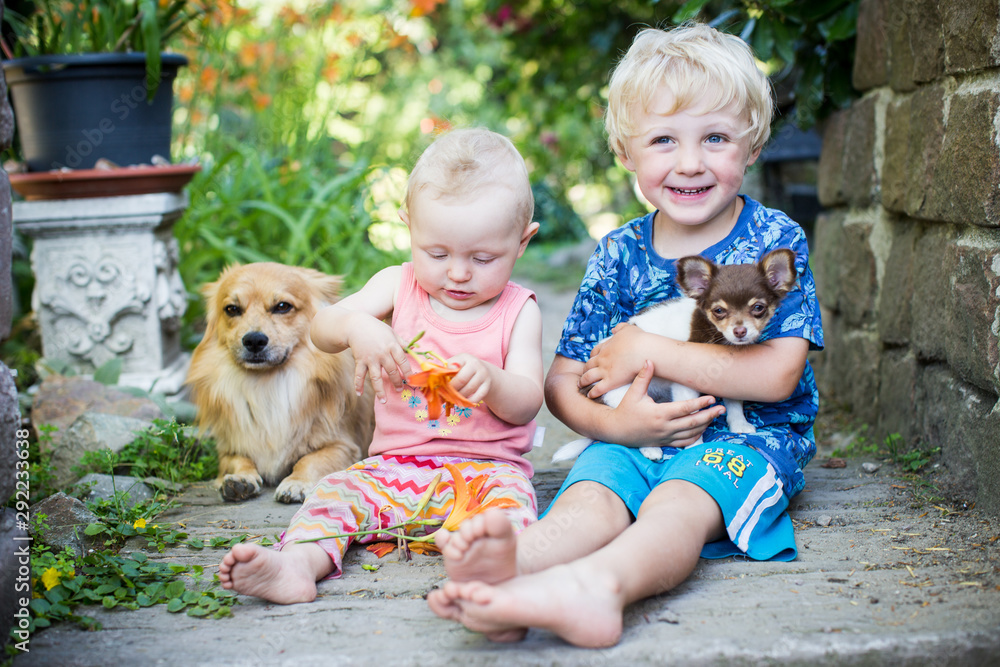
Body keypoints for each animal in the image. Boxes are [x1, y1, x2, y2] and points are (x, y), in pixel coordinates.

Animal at [186, 262, 375, 503]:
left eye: (283, 307)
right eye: (232, 309)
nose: (254, 340)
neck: (267, 387)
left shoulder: (344, 446)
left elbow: (310, 459)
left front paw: (297, 482)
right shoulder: (229, 448)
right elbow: (238, 460)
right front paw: (239, 478)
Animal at [552, 248, 798, 463]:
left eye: (758, 308)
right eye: (719, 311)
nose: (740, 331)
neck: (714, 334)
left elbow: (734, 401)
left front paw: (739, 424)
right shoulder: (684, 385)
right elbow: (691, 418)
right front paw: (694, 445)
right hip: (622, 395)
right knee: (634, 425)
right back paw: (650, 448)